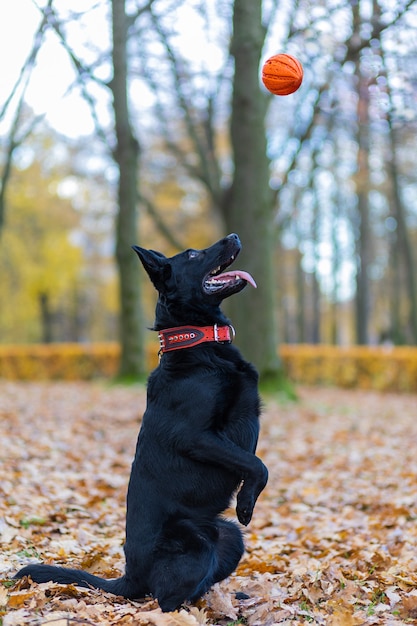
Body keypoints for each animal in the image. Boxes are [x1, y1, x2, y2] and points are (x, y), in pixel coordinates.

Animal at [14, 233, 268, 608]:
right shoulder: (196, 436)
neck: (198, 345)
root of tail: (130, 577)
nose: (235, 236)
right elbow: (257, 465)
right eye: (193, 255)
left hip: (229, 536)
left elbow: (255, 462)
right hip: (196, 545)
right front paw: (247, 503)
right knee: (163, 598)